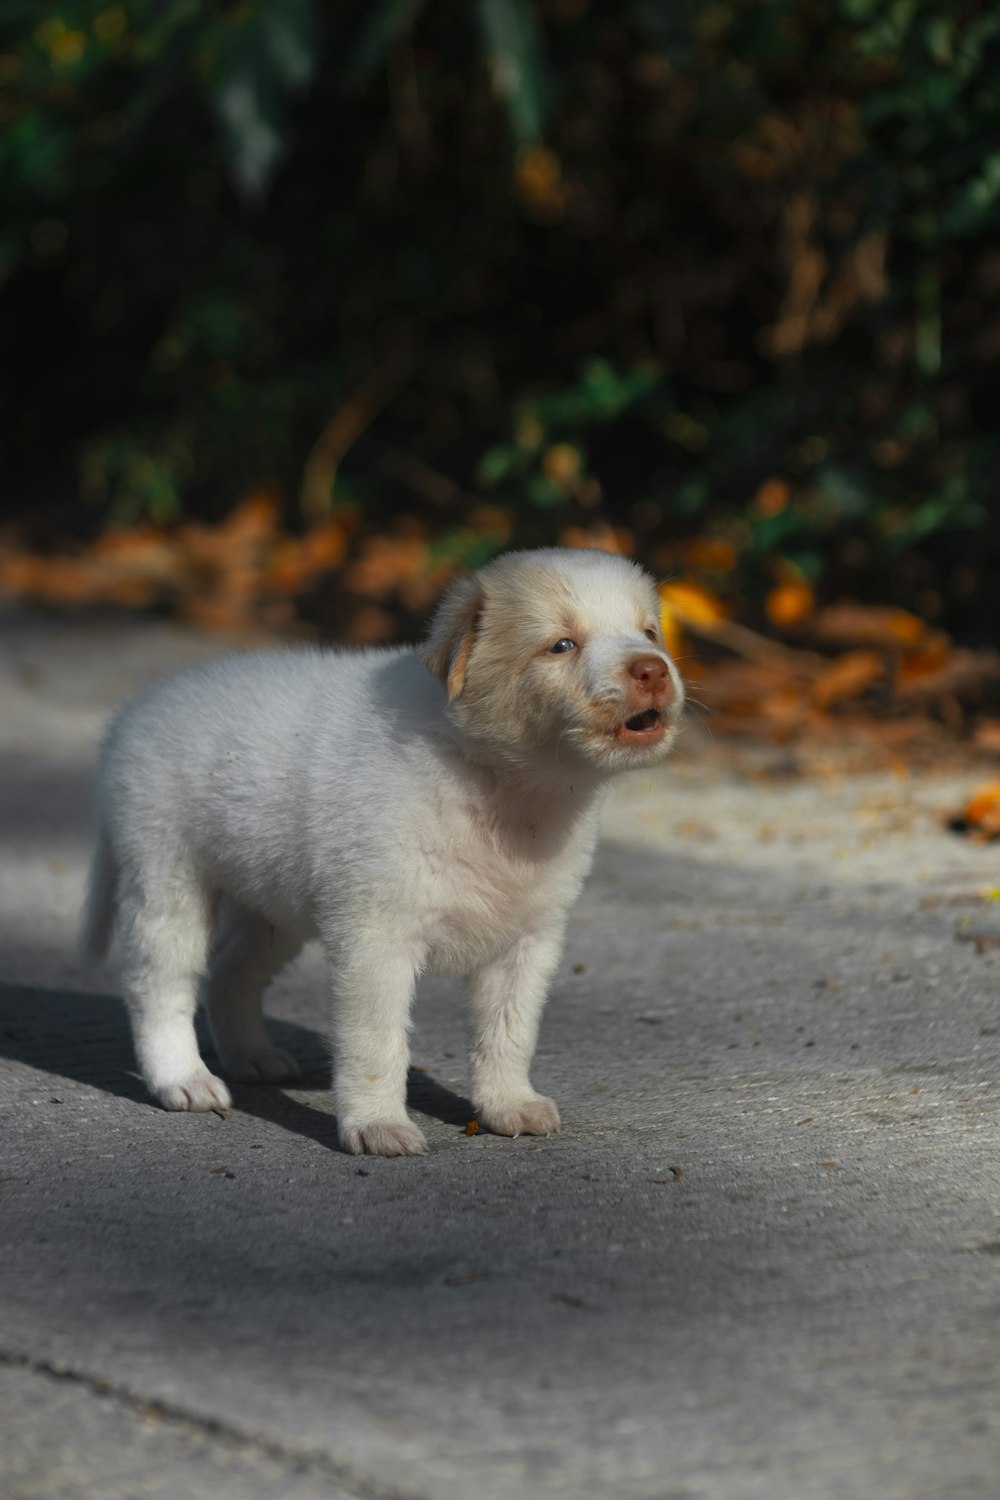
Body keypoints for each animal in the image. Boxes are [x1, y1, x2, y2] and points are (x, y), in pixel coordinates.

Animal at [82, 546, 683, 1152]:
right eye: (561, 645)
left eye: (648, 632)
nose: (653, 668)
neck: (496, 780)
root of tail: (131, 718)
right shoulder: (376, 940)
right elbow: (376, 1041)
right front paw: (378, 1125)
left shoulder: (528, 942)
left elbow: (509, 1032)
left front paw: (508, 1104)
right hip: (166, 878)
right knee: (159, 986)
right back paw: (183, 1079)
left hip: (270, 909)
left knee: (232, 972)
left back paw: (252, 1056)